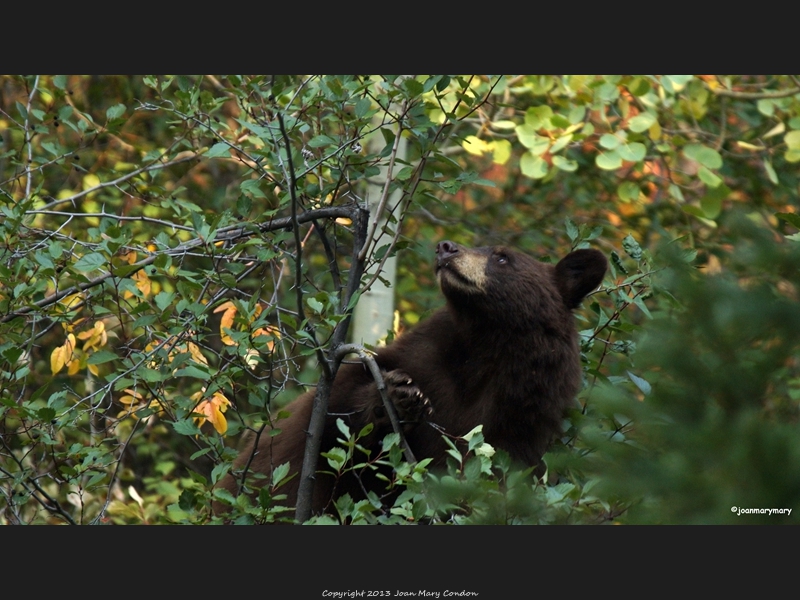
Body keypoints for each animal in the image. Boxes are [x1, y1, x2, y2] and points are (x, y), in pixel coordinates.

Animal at [212, 241, 608, 516]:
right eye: (490, 248)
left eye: (502, 257)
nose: (447, 247)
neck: (486, 351)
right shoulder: (423, 355)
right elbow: (334, 415)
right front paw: (397, 399)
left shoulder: (522, 420)